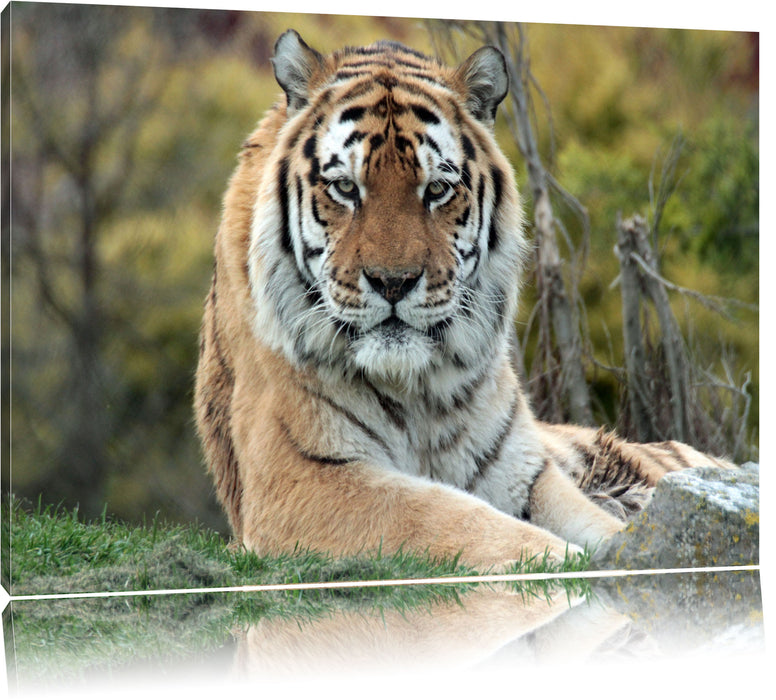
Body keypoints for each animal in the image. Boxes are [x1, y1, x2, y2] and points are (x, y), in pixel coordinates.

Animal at [194, 30, 733, 569]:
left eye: (436, 190)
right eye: (345, 187)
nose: (394, 282)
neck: (414, 392)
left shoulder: (522, 470)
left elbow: (598, 526)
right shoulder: (304, 477)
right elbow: (449, 517)